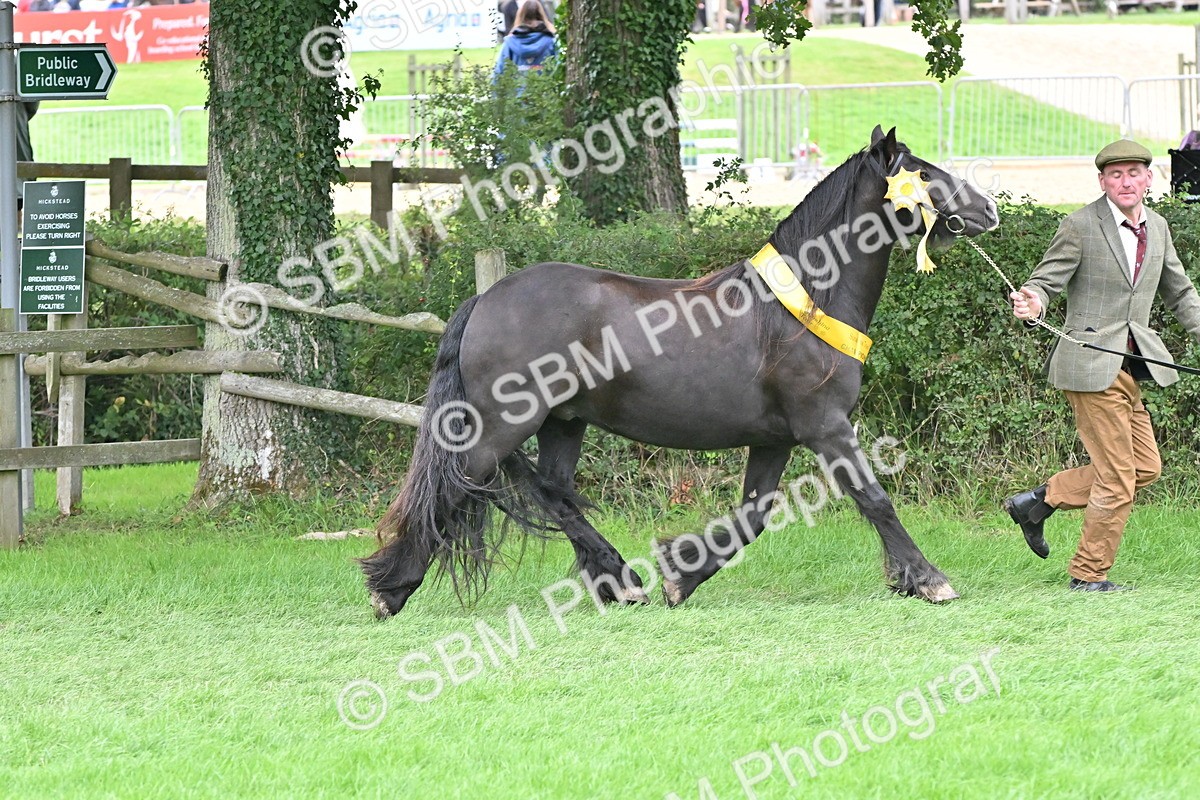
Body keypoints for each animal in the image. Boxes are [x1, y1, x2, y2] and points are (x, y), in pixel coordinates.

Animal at [361, 126, 999, 619]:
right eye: (922, 173)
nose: (988, 210)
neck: (804, 304)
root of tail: (484, 301)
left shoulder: (775, 439)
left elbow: (752, 518)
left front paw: (679, 576)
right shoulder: (826, 427)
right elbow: (874, 498)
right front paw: (928, 579)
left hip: (562, 423)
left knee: (554, 493)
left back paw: (619, 581)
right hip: (499, 429)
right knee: (457, 488)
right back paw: (391, 589)